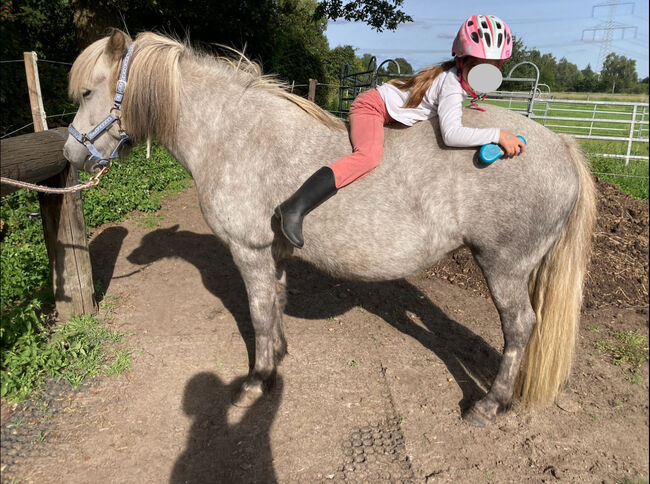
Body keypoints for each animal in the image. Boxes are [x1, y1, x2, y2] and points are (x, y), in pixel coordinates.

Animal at [63, 30, 596, 426]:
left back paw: (489, 405)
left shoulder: (248, 250)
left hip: (505, 266)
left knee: (520, 326)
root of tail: (561, 145)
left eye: (88, 91)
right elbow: (274, 305)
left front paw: (257, 380)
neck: (235, 135)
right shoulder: (272, 253)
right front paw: (278, 358)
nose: (70, 155)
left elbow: (258, 313)